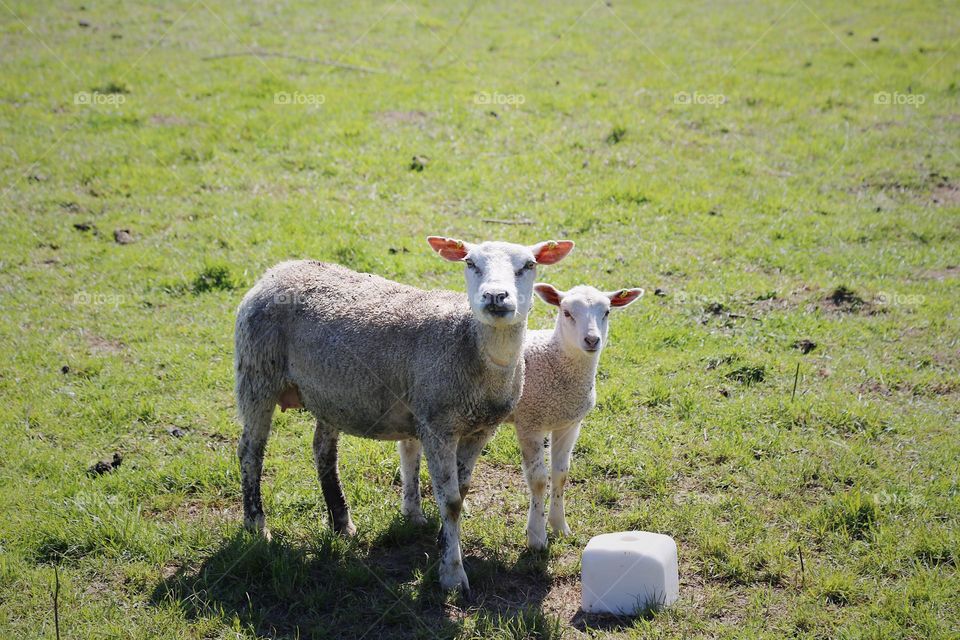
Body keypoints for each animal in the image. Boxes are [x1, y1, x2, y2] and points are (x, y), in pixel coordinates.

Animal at [235, 236, 572, 596]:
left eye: (528, 265)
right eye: (470, 263)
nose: (496, 297)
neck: (472, 345)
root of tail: (278, 270)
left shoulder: (480, 429)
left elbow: (463, 490)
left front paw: (443, 542)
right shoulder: (437, 425)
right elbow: (451, 501)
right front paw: (452, 575)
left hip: (328, 393)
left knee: (323, 451)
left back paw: (341, 522)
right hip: (256, 372)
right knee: (250, 453)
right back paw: (257, 525)